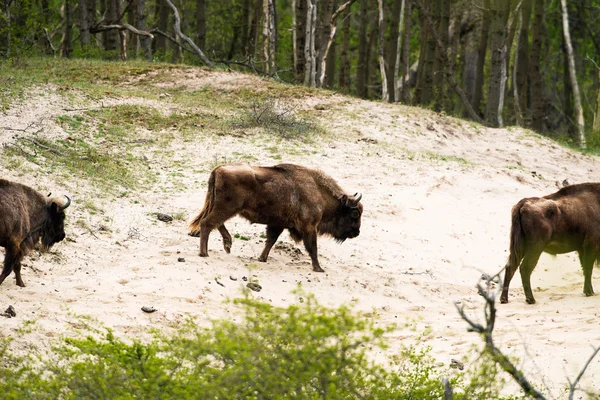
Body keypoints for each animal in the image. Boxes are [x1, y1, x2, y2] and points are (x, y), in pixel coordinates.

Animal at [190, 162, 364, 272]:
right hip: (226, 208)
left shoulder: (277, 224)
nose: (357, 233)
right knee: (207, 224)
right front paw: (319, 269)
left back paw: (227, 245)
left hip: (223, 208)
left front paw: (262, 258)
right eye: (354, 213)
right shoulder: (309, 227)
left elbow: (270, 241)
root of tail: (218, 169)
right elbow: (312, 248)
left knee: (215, 223)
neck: (318, 193)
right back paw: (205, 253)